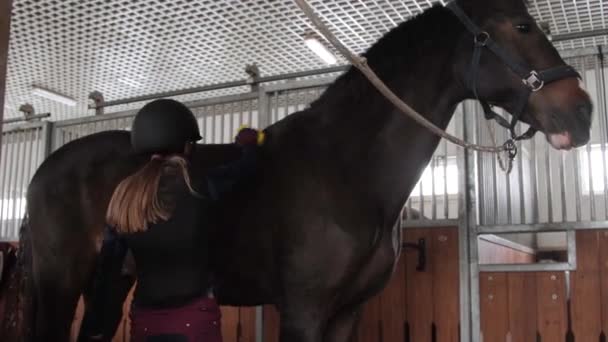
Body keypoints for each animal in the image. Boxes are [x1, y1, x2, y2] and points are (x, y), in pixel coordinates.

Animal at [15, 0, 592, 340]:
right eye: (522, 25)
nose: (583, 112)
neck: (346, 169)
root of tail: (45, 171)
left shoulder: (345, 313)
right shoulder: (303, 310)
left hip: (111, 284)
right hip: (61, 283)